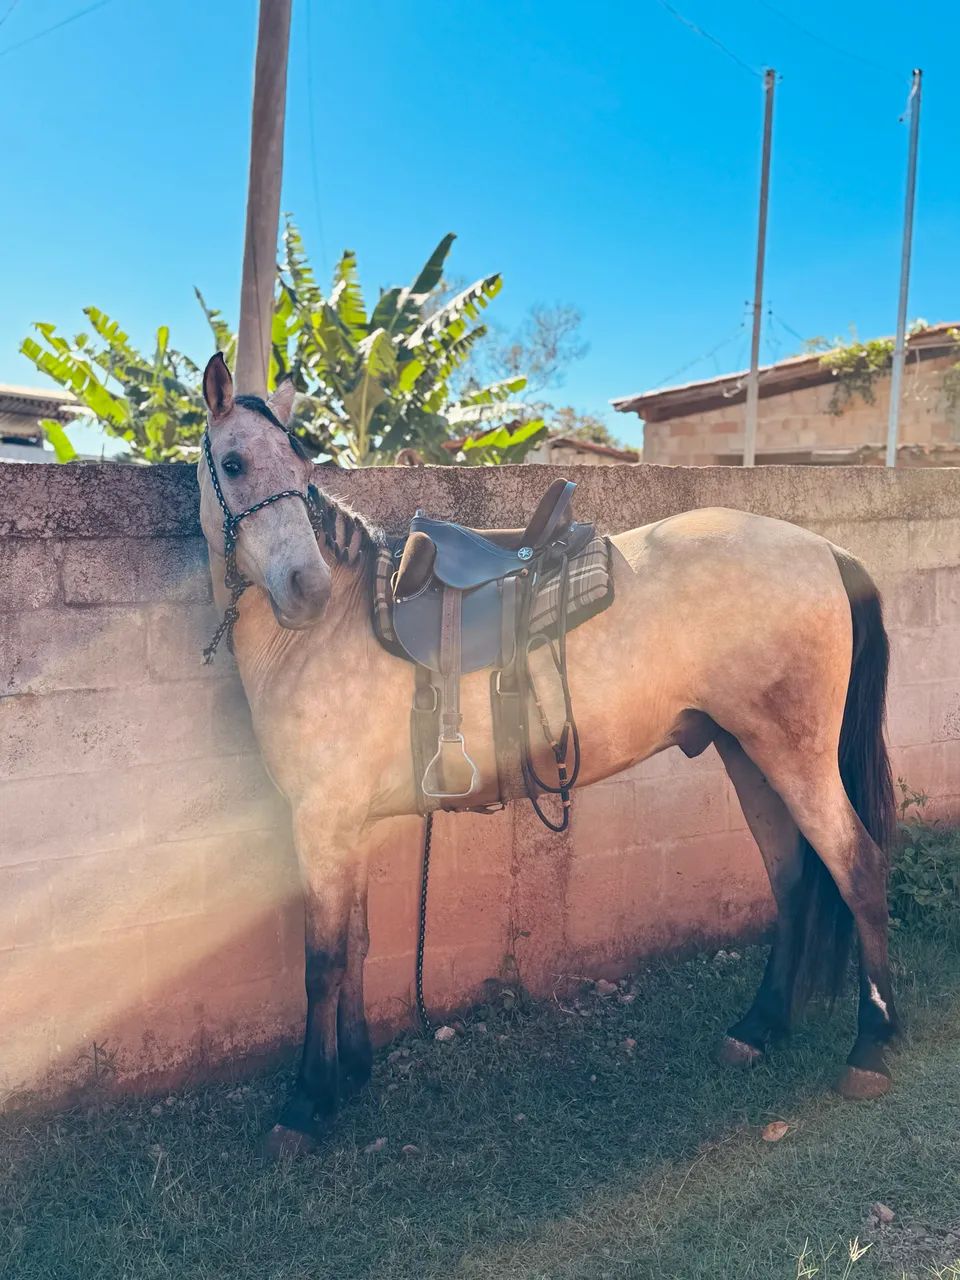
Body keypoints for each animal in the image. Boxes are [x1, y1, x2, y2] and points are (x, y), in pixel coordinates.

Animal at [196, 353, 899, 1158]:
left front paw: (308, 1102)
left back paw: (871, 1047)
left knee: (858, 868)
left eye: (301, 466)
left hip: (795, 756)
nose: (305, 590)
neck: (331, 630)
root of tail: (825, 549)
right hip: (747, 753)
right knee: (791, 879)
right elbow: (359, 945)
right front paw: (353, 1069)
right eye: (234, 462)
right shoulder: (347, 826)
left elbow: (322, 963)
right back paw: (757, 1029)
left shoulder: (320, 823)